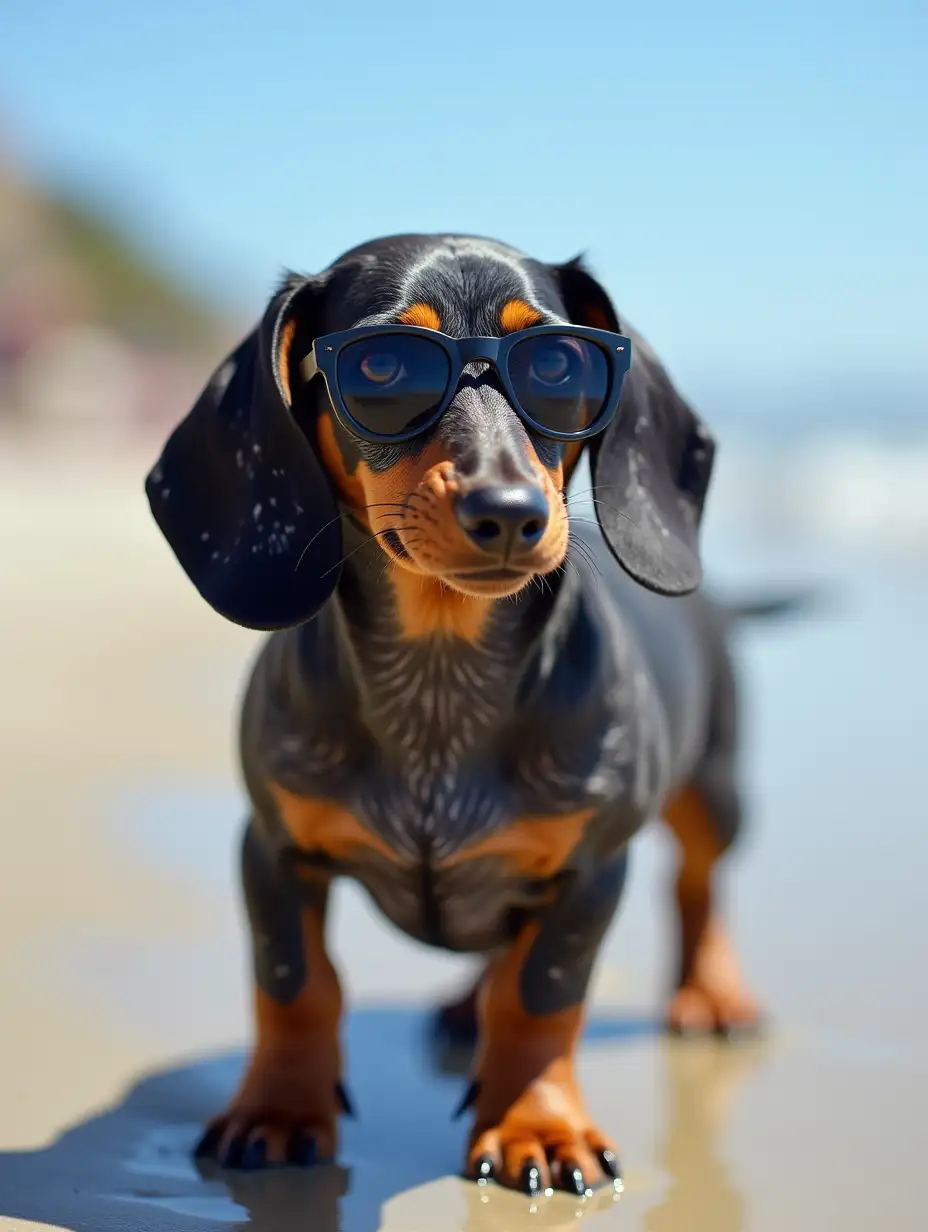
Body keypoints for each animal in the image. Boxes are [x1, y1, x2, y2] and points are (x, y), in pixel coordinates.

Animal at [146, 235, 783, 1197]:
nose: (510, 513)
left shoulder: (592, 872)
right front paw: (281, 1110)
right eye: (381, 365)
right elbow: (296, 985)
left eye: (558, 361)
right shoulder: (270, 847)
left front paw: (536, 1126)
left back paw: (711, 991)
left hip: (716, 788)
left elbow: (542, 998)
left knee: (699, 887)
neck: (439, 692)